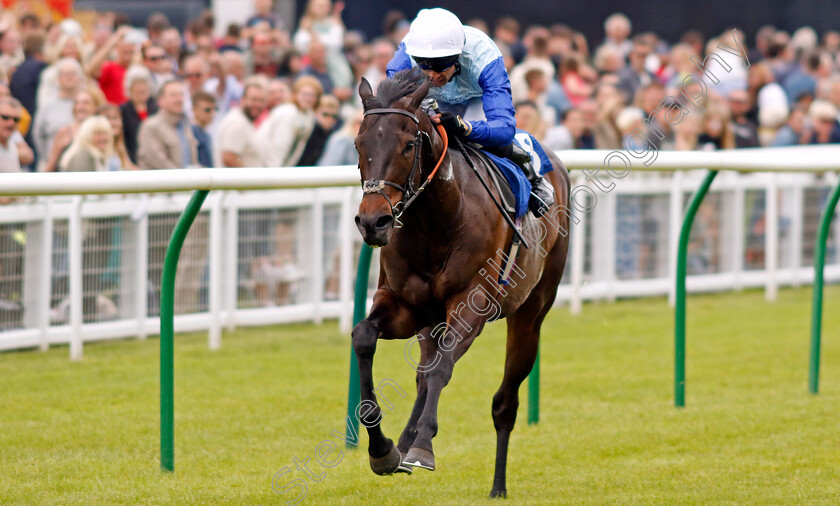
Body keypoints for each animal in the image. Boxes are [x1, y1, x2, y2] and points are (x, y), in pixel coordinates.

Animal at [348, 68, 572, 498]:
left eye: (407, 145)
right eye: (358, 143)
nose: (373, 222)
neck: (436, 221)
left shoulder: (473, 305)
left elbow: (442, 370)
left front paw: (422, 448)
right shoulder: (403, 306)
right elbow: (365, 337)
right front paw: (383, 451)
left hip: (530, 313)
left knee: (504, 402)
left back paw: (497, 486)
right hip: (429, 321)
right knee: (423, 371)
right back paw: (403, 444)